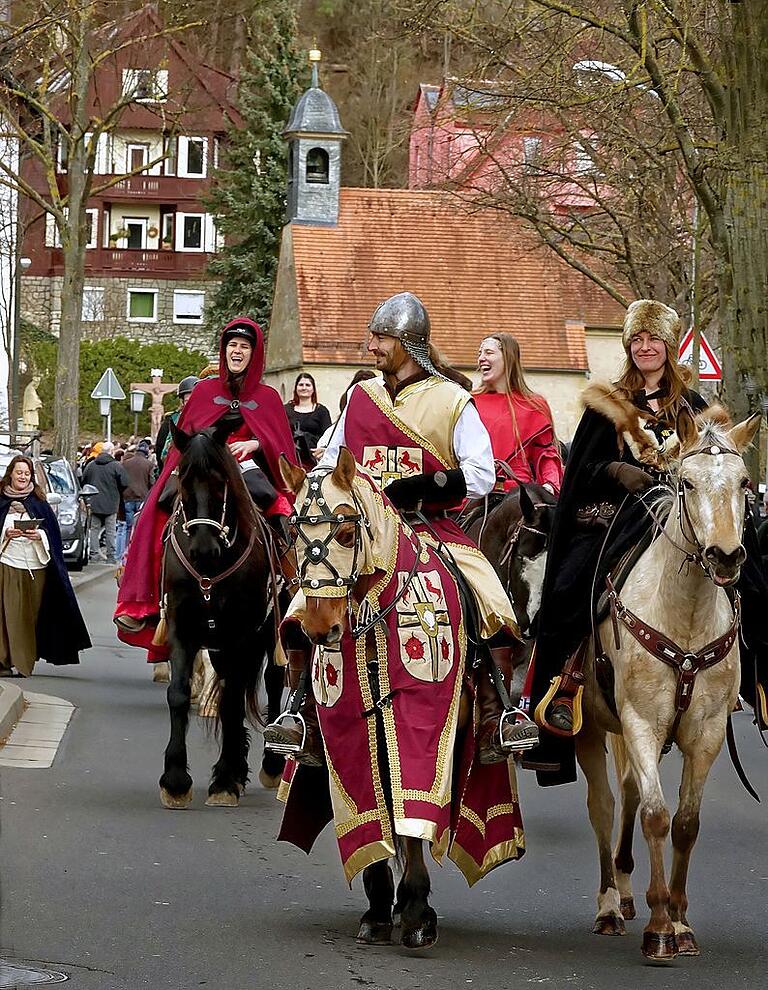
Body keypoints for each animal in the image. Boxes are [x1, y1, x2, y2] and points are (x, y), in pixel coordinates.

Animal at [156, 422, 284, 808]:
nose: (203, 549)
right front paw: (175, 780)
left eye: (220, 482)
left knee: (272, 681)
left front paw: (225, 781)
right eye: (182, 479)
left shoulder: (240, 633)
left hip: (272, 633)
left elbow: (231, 701)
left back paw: (268, 765)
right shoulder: (182, 628)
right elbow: (179, 693)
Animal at [280, 448, 524, 944]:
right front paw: (378, 906)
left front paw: (415, 908)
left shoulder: (422, 722)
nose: (321, 629)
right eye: (293, 533)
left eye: (346, 531)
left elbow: (408, 808)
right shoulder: (347, 729)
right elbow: (376, 803)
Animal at [576, 406, 760, 964]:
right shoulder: (640, 722)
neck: (685, 617)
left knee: (628, 793)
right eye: (686, 482)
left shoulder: (706, 732)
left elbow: (684, 823)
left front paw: (679, 921)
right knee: (605, 806)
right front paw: (659, 928)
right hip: (591, 729)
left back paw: (626, 893)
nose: (725, 556)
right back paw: (610, 906)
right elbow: (656, 815)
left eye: (744, 482)